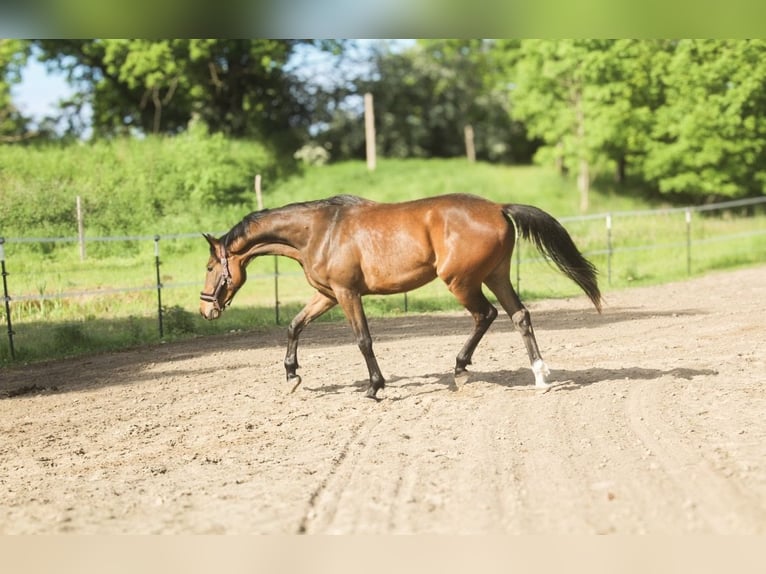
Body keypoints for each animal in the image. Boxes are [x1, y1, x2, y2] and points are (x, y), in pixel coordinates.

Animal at [199, 193, 602, 399]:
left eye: (209, 266)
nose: (206, 310)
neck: (319, 231)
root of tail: (497, 207)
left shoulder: (347, 293)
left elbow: (363, 340)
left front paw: (374, 388)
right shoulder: (327, 295)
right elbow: (294, 325)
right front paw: (291, 375)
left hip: (461, 281)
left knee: (485, 315)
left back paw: (461, 369)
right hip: (496, 275)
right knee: (519, 316)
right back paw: (540, 376)